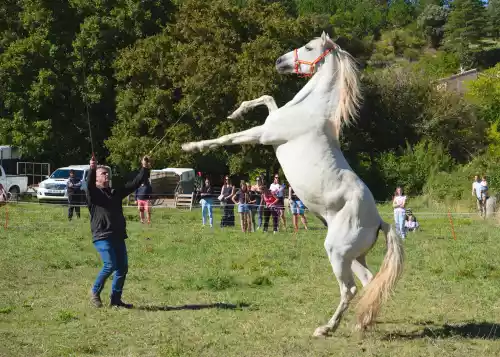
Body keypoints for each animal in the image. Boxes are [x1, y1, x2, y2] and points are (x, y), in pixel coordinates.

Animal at [182, 32, 404, 336]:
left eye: (309, 47)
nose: (280, 61)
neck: (309, 109)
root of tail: (379, 221)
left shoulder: (264, 134)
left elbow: (228, 138)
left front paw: (192, 146)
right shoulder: (270, 122)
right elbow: (267, 98)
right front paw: (237, 111)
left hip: (337, 252)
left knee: (348, 289)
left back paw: (326, 328)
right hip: (354, 258)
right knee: (369, 282)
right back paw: (362, 323)